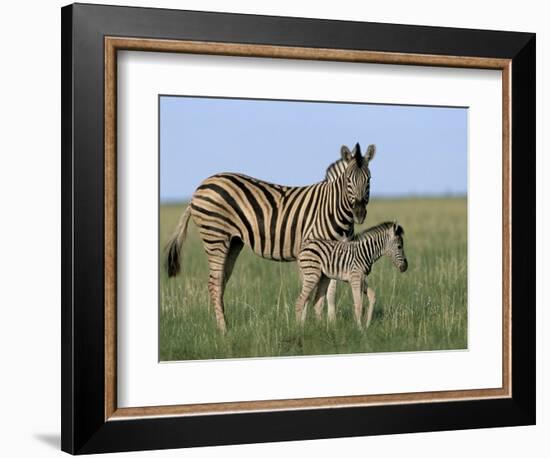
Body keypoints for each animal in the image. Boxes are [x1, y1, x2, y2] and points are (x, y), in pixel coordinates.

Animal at [166, 142, 378, 330]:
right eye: (348, 179)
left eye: (369, 179)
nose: (359, 213)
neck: (332, 208)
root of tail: (201, 186)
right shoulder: (313, 250)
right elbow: (311, 292)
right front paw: (304, 325)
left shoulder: (337, 253)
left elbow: (330, 291)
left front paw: (330, 325)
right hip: (215, 236)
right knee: (214, 283)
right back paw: (223, 330)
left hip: (233, 242)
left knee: (221, 281)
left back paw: (224, 324)